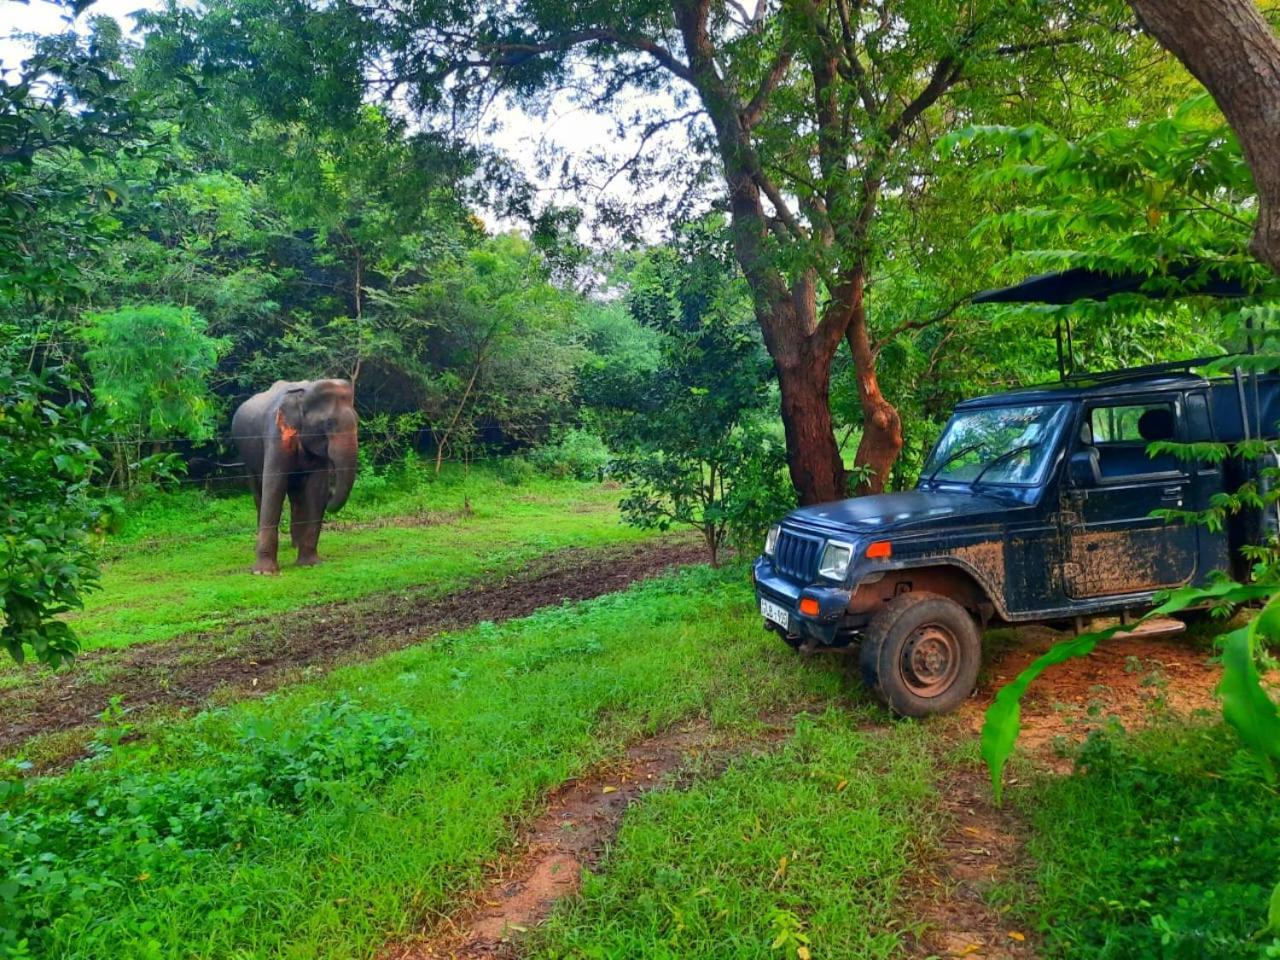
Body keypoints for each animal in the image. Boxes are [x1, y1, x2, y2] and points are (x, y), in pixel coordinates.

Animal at [231, 378, 358, 576]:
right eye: (328, 424)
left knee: (296, 495)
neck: (304, 393)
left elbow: (316, 490)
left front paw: (310, 564)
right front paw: (264, 572)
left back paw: (295, 545)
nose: (331, 495)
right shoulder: (276, 434)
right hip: (247, 458)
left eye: (358, 420)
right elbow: (274, 486)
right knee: (258, 492)